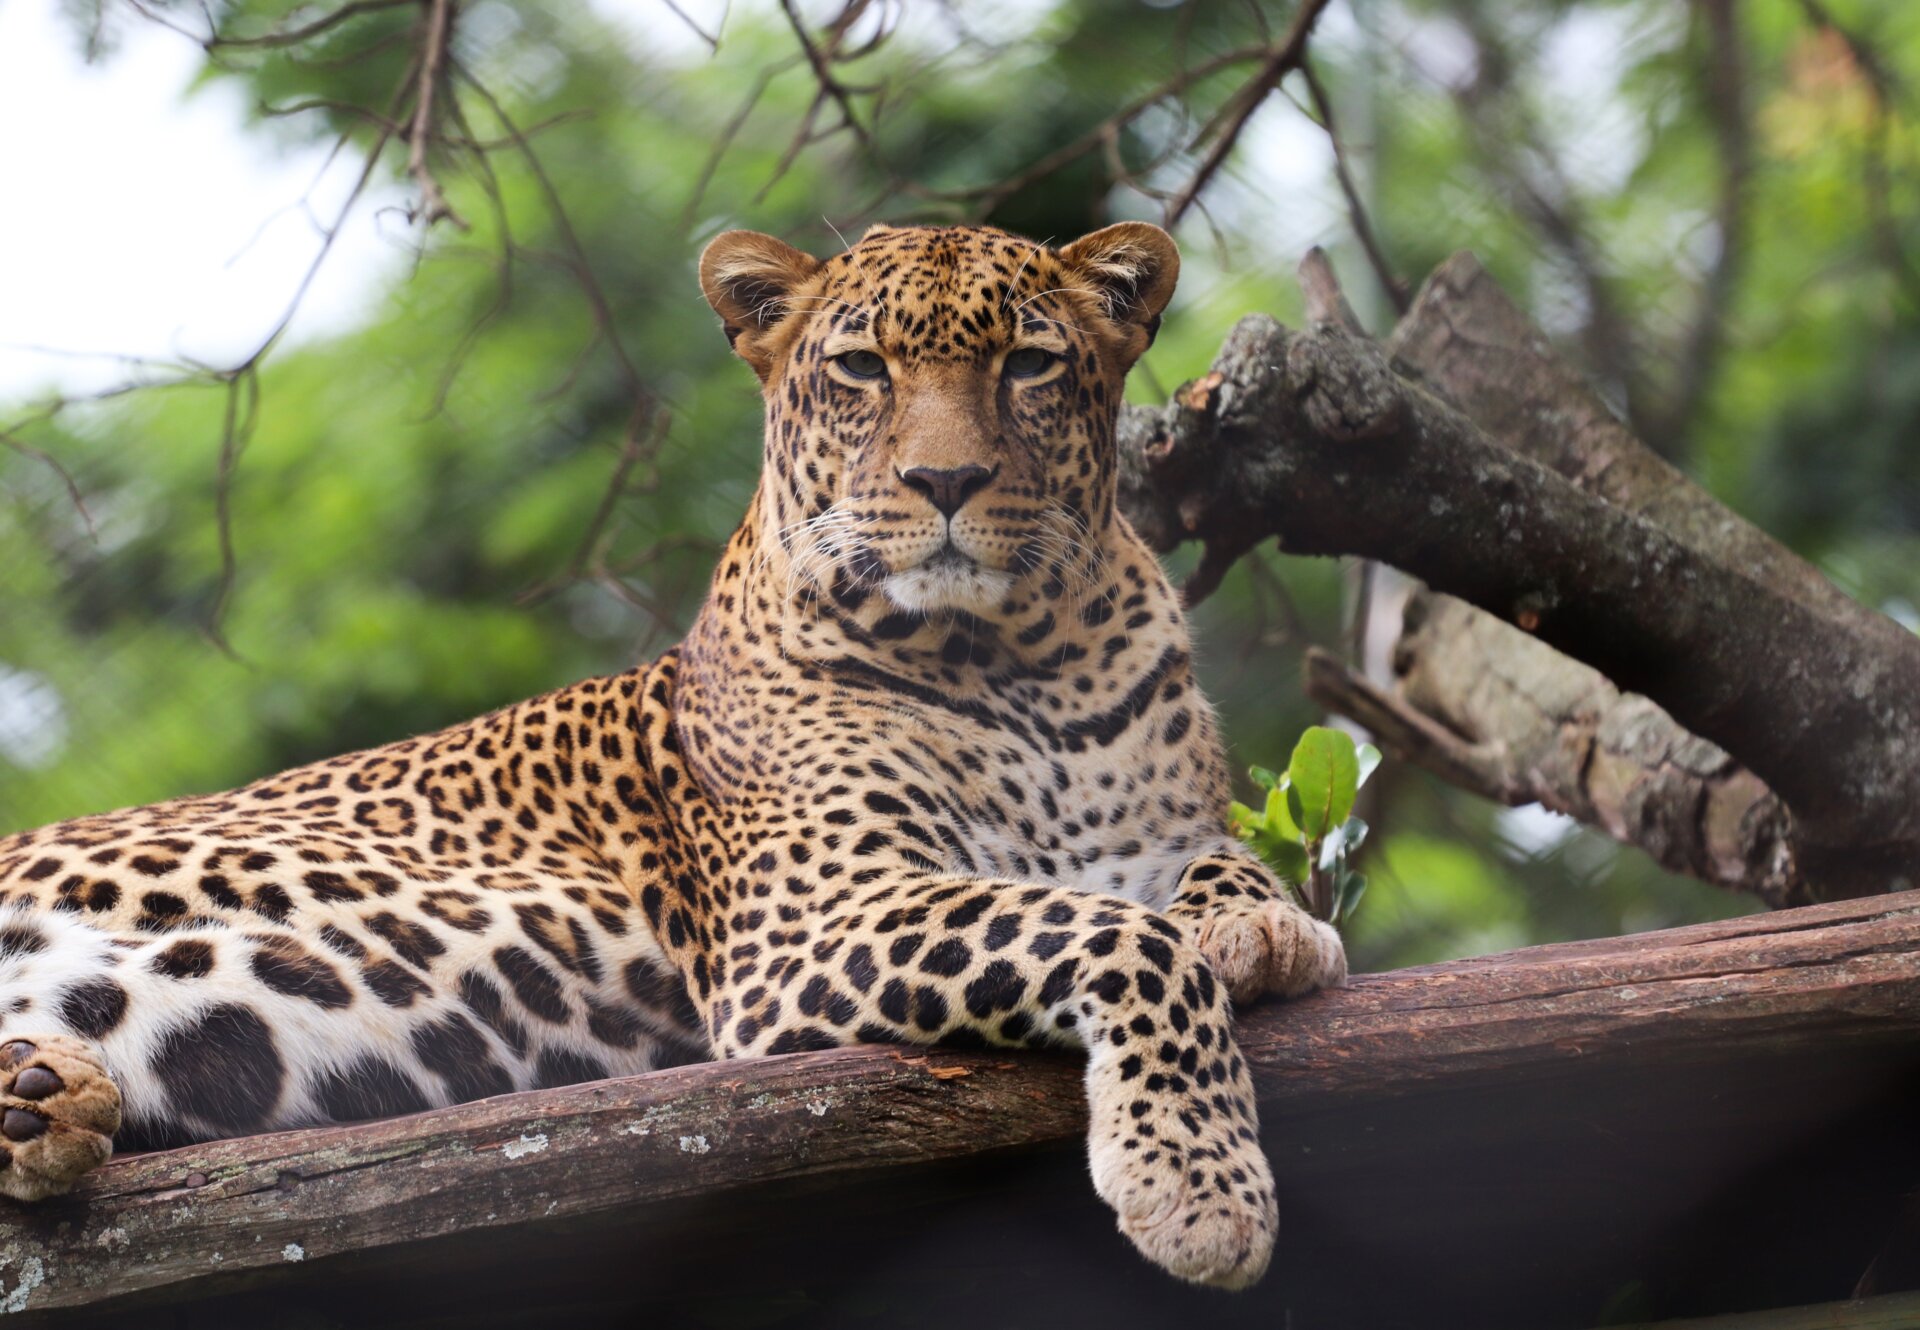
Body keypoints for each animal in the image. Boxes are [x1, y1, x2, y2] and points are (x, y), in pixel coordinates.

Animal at [0, 220, 1346, 1289]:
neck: (1022, 660)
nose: (947, 478)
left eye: (1028, 363)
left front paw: (1266, 925)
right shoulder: (812, 922)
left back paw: (46, 1102)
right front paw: (1200, 1193)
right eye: (863, 368)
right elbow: (1120, 935)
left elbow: (1213, 868)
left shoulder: (1156, 828)